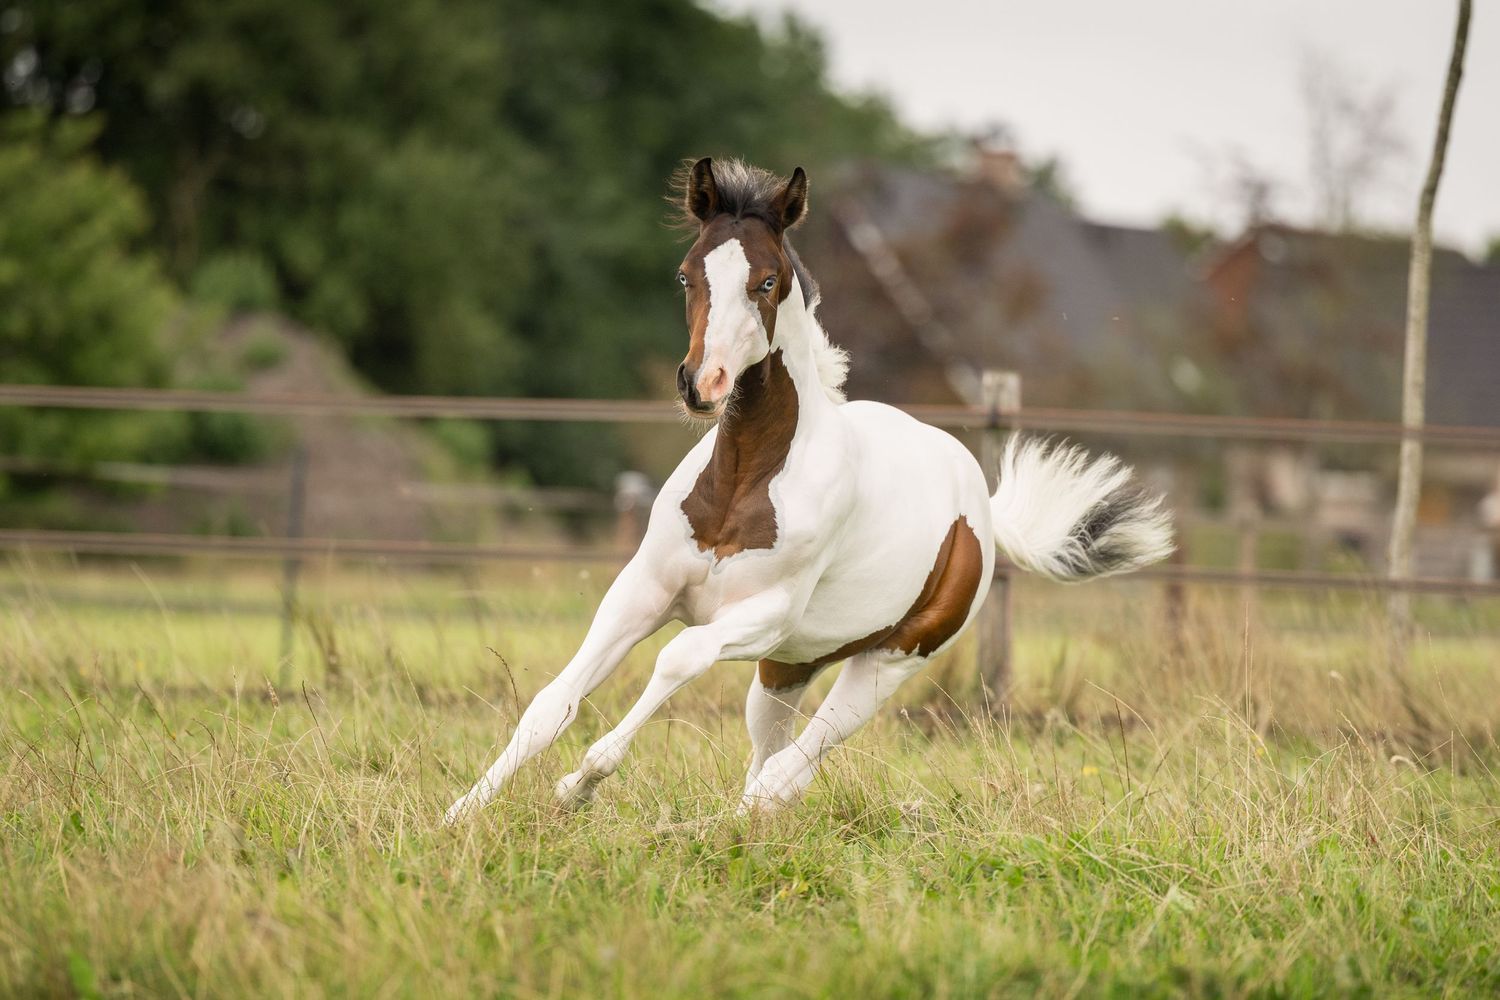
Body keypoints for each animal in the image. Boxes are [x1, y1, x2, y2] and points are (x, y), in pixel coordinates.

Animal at [445, 157, 1173, 823]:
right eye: (686, 274)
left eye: (766, 281)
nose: (701, 384)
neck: (745, 478)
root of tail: (984, 511)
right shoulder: (643, 591)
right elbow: (552, 703)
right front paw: (459, 818)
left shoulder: (764, 613)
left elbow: (679, 658)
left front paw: (580, 784)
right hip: (787, 668)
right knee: (768, 764)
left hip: (885, 663)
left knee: (787, 774)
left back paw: (702, 827)